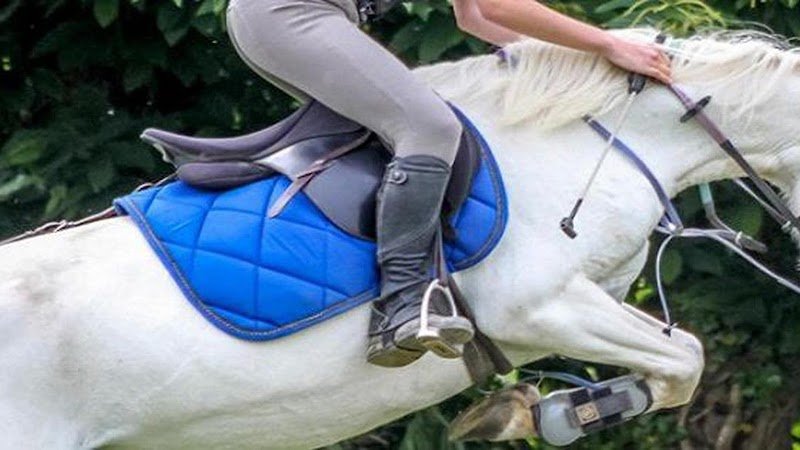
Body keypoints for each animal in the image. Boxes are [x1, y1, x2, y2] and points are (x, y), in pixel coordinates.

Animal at [2, 28, 798, 449]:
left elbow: (677, 363)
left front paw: (527, 409)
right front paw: (556, 412)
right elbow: (687, 359)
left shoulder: (586, 303)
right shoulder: (538, 307)